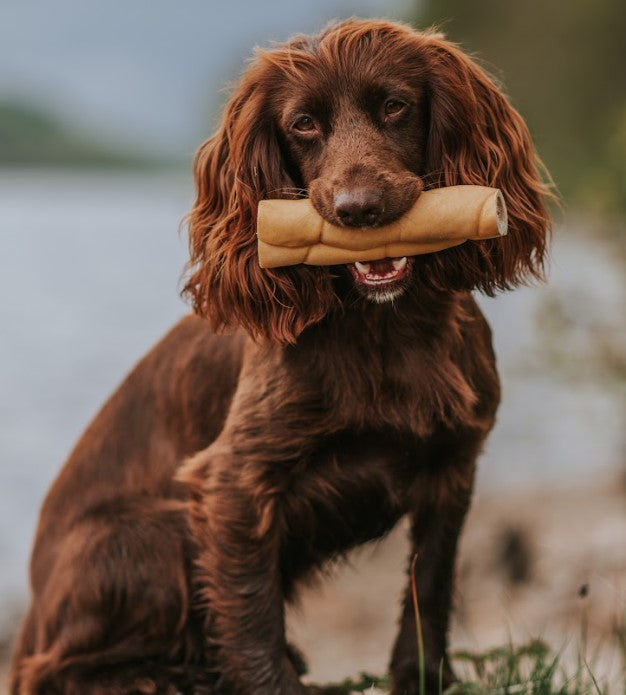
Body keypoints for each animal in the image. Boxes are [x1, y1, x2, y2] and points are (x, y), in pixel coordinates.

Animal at [8, 16, 544, 695]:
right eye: (303, 124)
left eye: (395, 106)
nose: (357, 210)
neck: (383, 329)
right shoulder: (233, 485)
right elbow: (253, 628)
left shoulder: (453, 468)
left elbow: (429, 594)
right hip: (151, 533)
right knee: (52, 670)